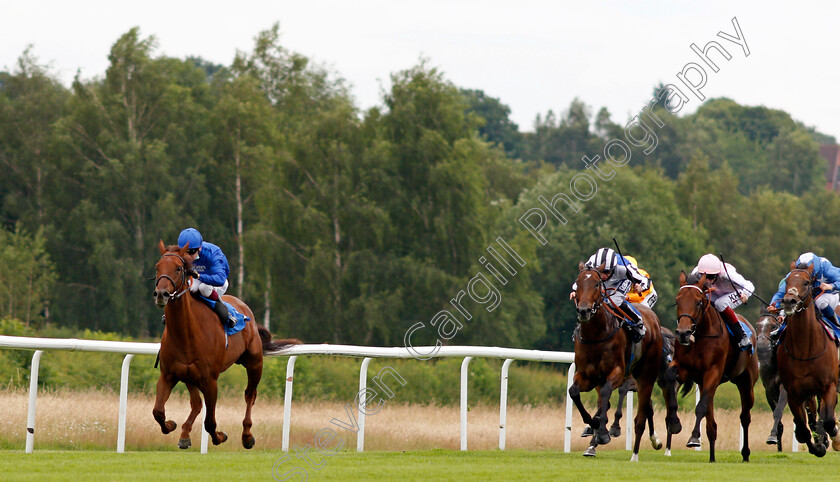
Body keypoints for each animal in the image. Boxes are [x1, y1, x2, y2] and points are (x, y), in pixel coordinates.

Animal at [153, 243, 300, 450]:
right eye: (157, 267)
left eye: (178, 268)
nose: (161, 294)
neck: (186, 334)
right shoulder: (169, 375)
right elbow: (158, 411)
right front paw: (171, 425)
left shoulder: (210, 380)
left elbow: (210, 422)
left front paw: (220, 437)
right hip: (189, 376)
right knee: (196, 403)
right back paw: (185, 434)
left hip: (255, 363)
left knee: (249, 395)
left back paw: (247, 436)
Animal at [568, 266, 668, 462]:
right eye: (578, 282)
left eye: (596, 284)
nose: (584, 311)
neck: (596, 335)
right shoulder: (587, 376)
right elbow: (575, 392)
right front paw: (593, 425)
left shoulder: (618, 373)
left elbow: (609, 393)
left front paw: (603, 432)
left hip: (646, 374)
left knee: (643, 410)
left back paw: (639, 450)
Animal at [668, 272, 756, 464]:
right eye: (677, 301)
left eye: (698, 302)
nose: (683, 333)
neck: (700, 336)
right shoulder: (684, 369)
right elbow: (671, 382)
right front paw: (674, 422)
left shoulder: (713, 373)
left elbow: (700, 407)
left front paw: (694, 438)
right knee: (712, 425)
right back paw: (712, 457)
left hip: (746, 382)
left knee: (745, 417)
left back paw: (745, 453)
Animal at [776, 264, 840, 456]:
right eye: (787, 280)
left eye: (806, 282)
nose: (789, 301)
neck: (805, 349)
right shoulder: (793, 392)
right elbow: (803, 429)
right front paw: (818, 446)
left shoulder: (829, 386)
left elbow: (828, 420)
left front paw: (833, 437)